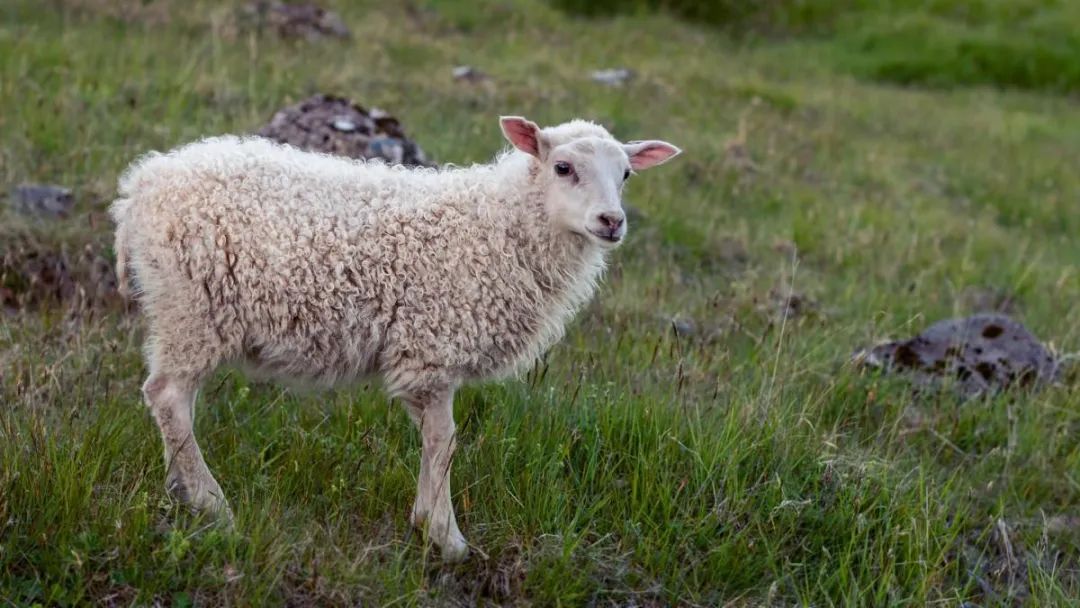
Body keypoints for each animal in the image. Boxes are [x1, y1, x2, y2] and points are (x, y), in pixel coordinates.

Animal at [111, 114, 682, 561]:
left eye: (626, 174)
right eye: (563, 168)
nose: (612, 221)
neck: (498, 228)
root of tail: (141, 186)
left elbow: (439, 442)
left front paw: (431, 524)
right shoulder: (431, 348)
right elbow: (444, 442)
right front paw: (444, 536)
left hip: (180, 311)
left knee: (172, 402)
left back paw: (181, 489)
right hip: (192, 308)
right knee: (168, 396)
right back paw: (213, 504)